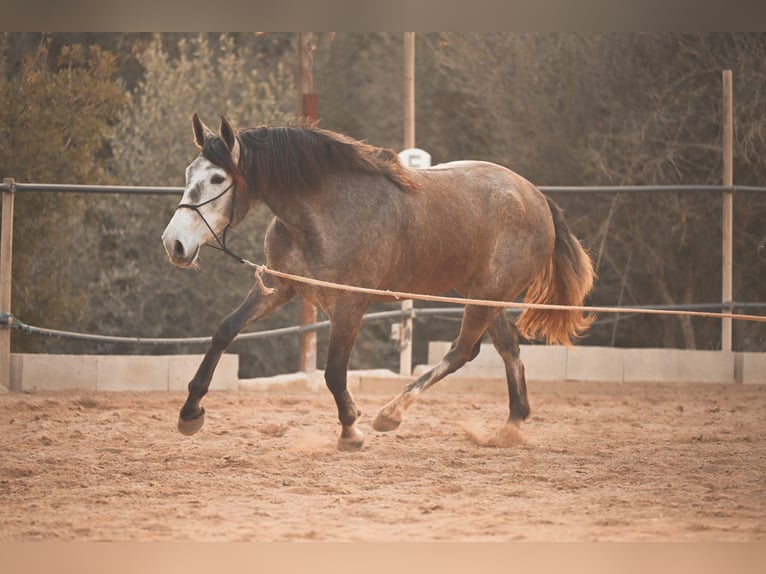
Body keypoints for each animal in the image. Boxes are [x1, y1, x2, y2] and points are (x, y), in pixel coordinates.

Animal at [160, 115, 592, 452]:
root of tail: (538, 198)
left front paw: (351, 430)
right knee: (506, 349)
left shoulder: (349, 307)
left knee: (463, 350)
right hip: (486, 297)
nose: (174, 244)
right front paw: (190, 413)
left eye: (218, 178)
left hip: (487, 296)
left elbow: (334, 373)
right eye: (189, 174)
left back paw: (391, 414)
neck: (322, 215)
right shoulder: (280, 286)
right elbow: (225, 330)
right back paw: (511, 426)